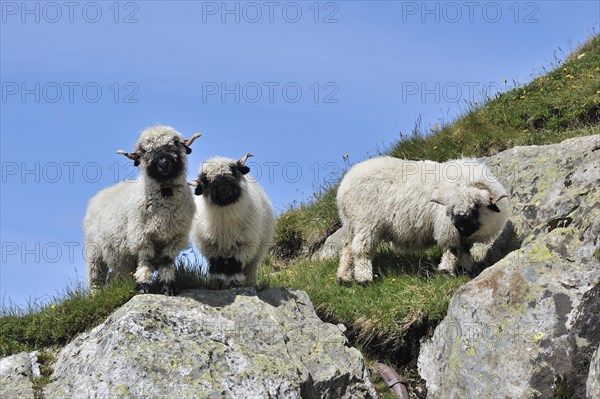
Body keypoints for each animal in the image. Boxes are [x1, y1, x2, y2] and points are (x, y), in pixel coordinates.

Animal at [82, 126, 202, 296]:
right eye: (145, 151)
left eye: (174, 143)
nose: (164, 163)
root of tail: (99, 194)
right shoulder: (141, 236)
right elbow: (145, 260)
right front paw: (143, 286)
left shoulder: (176, 237)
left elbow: (167, 261)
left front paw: (168, 287)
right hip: (94, 251)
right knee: (96, 276)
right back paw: (96, 294)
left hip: (120, 257)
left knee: (117, 274)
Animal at [190, 153, 276, 288]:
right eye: (205, 180)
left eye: (234, 170)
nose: (224, 188)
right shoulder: (211, 246)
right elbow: (218, 264)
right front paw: (218, 283)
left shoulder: (244, 244)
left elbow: (234, 263)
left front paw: (233, 283)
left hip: (256, 255)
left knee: (249, 268)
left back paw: (249, 284)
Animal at [336, 157, 508, 284]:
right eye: (452, 208)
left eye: (476, 205)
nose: (463, 229)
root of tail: (344, 185)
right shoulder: (447, 228)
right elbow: (452, 249)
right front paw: (446, 271)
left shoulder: (464, 236)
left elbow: (465, 249)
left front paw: (467, 269)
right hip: (366, 222)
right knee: (360, 250)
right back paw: (364, 279)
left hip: (351, 224)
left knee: (347, 248)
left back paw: (344, 278)